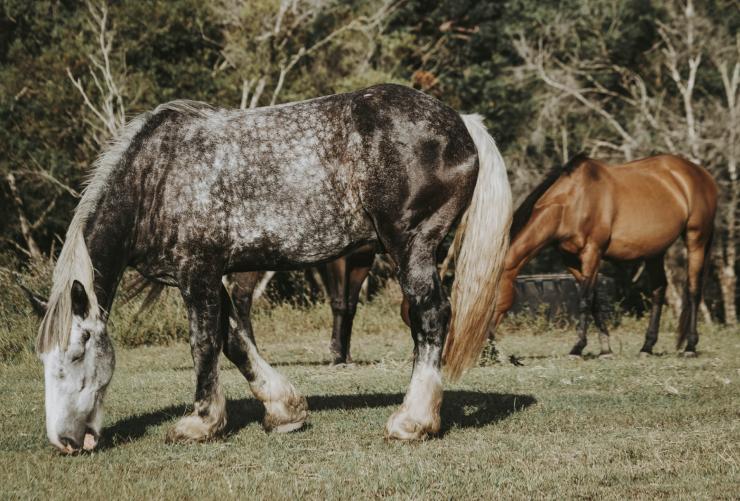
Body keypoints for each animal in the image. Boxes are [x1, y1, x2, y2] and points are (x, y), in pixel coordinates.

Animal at [32, 84, 512, 453]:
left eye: (76, 354)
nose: (65, 442)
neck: (157, 177)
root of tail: (461, 122)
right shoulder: (211, 277)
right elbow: (235, 340)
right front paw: (284, 410)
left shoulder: (197, 273)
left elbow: (205, 343)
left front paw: (200, 424)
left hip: (412, 247)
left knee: (430, 317)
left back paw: (412, 421)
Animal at [492, 154, 717, 358]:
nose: (489, 341)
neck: (573, 202)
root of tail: (701, 174)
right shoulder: (572, 260)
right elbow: (594, 300)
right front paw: (605, 349)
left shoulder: (592, 252)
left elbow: (585, 299)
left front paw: (577, 348)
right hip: (655, 251)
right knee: (659, 289)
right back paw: (647, 347)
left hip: (696, 239)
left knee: (694, 290)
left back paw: (690, 347)